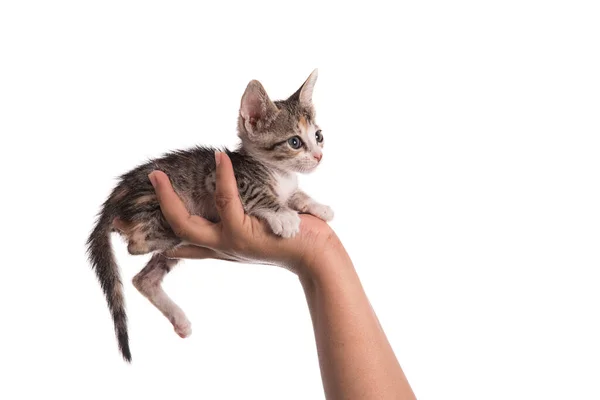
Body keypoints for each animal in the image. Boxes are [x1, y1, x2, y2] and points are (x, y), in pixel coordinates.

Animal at [86, 69, 332, 362]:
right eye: (295, 142)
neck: (278, 173)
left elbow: (296, 195)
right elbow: (261, 195)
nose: (318, 156)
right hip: (153, 201)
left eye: (318, 136)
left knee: (142, 279)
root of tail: (113, 200)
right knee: (136, 246)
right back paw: (179, 237)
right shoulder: (221, 178)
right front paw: (283, 215)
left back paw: (177, 317)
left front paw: (316, 205)